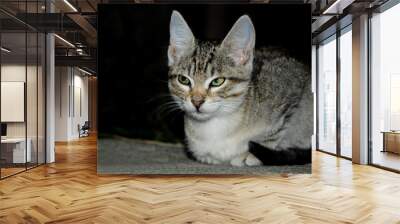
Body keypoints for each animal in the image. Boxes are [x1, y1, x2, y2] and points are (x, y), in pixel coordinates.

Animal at [167, 10, 310, 166]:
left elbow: (277, 130)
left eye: (217, 81)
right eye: (183, 80)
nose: (196, 101)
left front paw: (252, 154)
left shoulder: (292, 84)